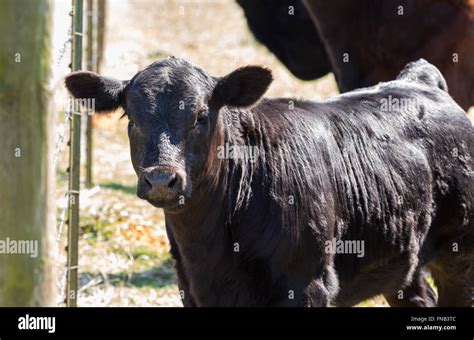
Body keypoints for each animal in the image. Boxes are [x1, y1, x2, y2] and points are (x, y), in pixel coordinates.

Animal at [65, 57, 474, 306]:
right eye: (131, 119)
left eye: (201, 116)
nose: (162, 179)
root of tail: (421, 82)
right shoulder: (191, 288)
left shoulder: (308, 285)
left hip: (460, 254)